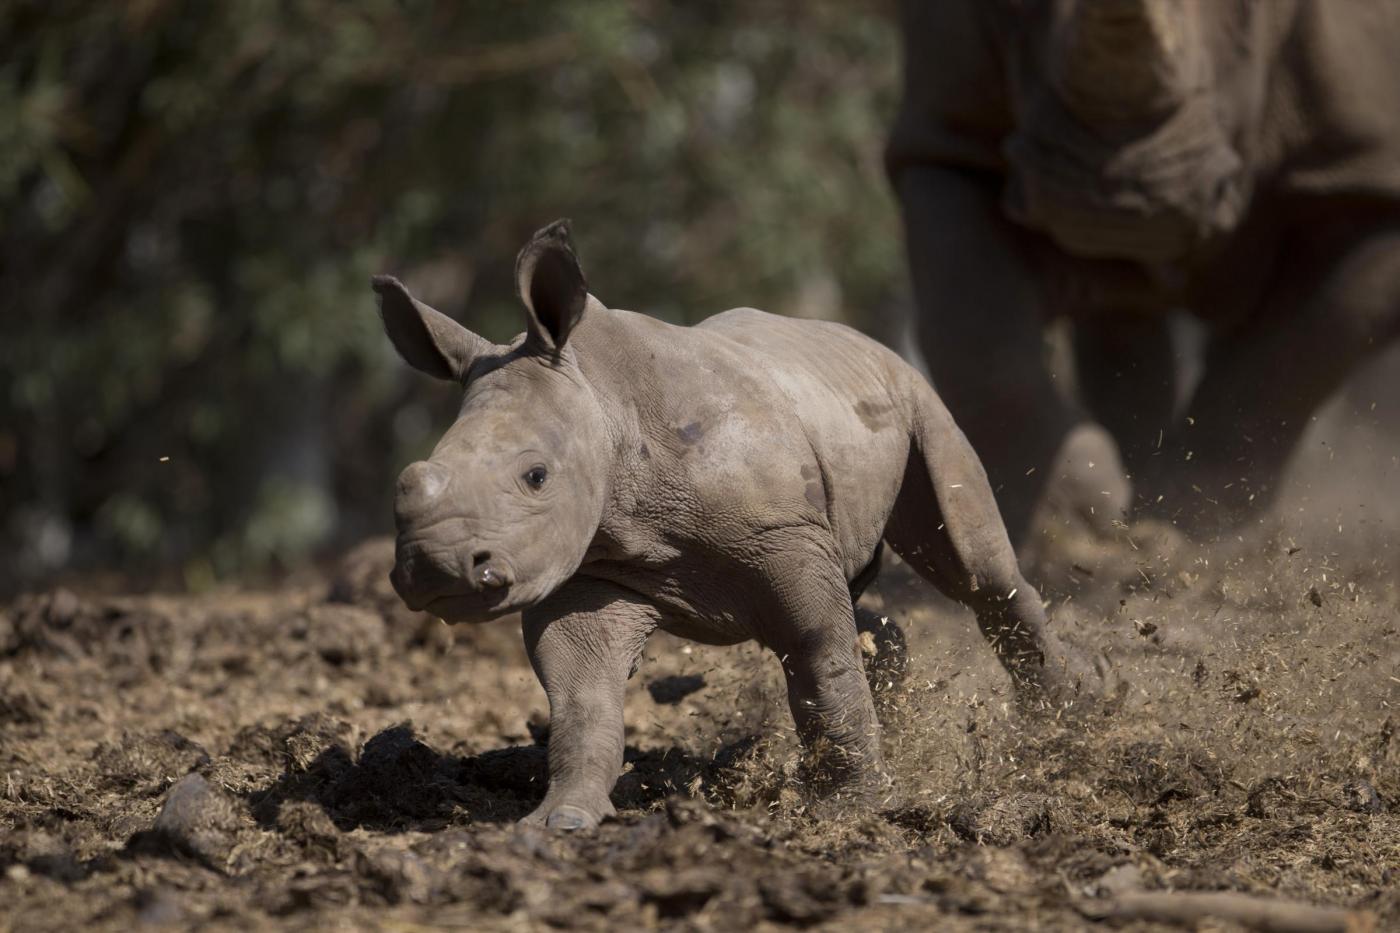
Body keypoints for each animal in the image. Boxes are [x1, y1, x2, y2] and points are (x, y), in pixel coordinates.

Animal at [380, 219, 1092, 829]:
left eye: (535, 476)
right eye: (406, 482)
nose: (436, 569)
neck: (606, 408)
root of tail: (864, 341)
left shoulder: (777, 535)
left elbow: (818, 655)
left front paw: (847, 811)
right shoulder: (588, 566)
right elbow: (581, 693)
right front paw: (563, 820)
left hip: (917, 396)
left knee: (973, 569)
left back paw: (1071, 714)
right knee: (858, 591)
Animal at [890, 0, 1394, 540]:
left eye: (1248, 20)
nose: (1118, 196)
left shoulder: (1367, 172)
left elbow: (1312, 337)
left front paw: (1199, 519)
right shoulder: (944, 135)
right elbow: (974, 328)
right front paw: (1074, 530)